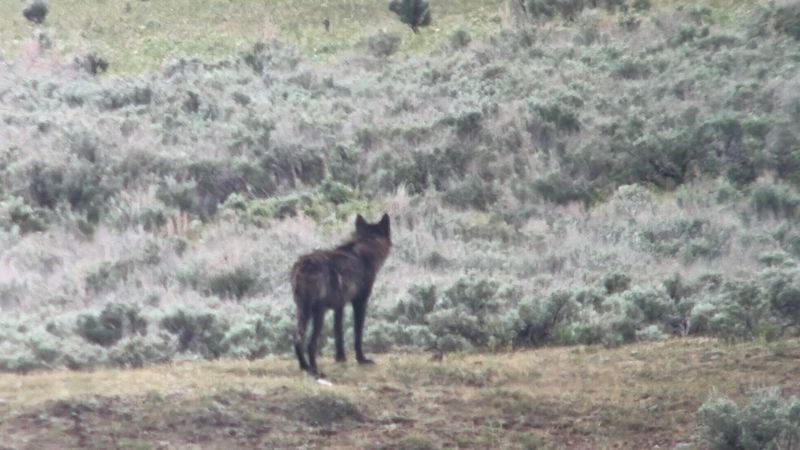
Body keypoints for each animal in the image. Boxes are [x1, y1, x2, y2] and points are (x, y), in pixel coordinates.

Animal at [291, 213, 391, 377]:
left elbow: (338, 332)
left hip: (302, 312)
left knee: (297, 339)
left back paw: (304, 367)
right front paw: (361, 359)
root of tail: (304, 264)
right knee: (311, 344)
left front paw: (340, 358)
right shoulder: (360, 302)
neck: (366, 246)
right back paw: (315, 371)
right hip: (318, 313)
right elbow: (357, 334)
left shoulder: (339, 306)